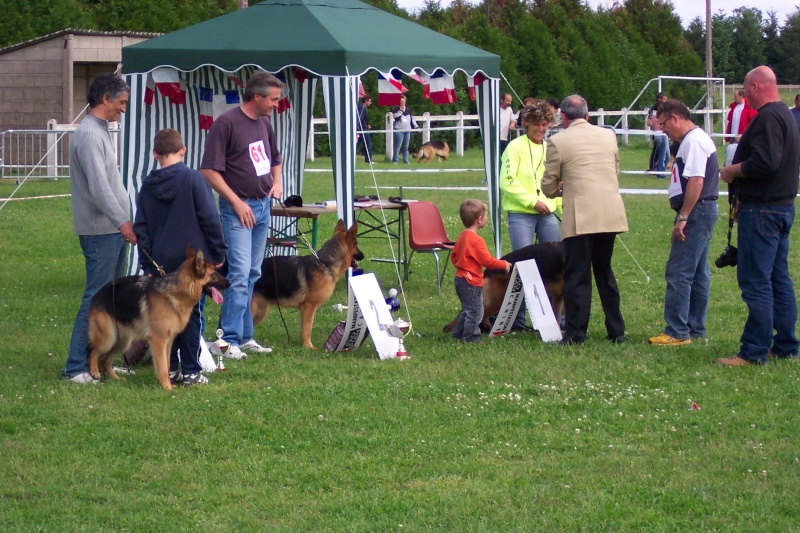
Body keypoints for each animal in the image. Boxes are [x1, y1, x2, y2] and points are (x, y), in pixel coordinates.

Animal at [88, 246, 230, 390]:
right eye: (214, 273)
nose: (230, 283)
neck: (176, 292)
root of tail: (97, 294)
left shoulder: (168, 342)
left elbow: (167, 364)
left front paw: (168, 384)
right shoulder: (159, 341)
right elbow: (162, 366)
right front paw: (167, 388)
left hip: (122, 341)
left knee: (105, 361)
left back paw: (115, 378)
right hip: (108, 338)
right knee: (93, 352)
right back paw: (94, 372)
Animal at [253, 220, 362, 350]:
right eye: (356, 245)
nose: (363, 256)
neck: (325, 264)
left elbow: (304, 328)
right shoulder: (309, 306)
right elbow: (307, 328)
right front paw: (308, 347)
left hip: (260, 312)